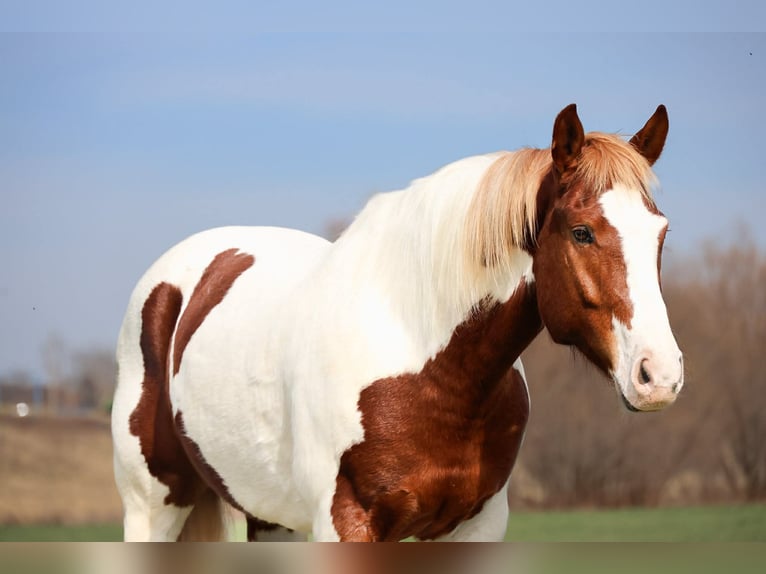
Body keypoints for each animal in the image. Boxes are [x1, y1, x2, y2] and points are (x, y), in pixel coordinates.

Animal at [111, 104, 683, 542]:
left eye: (661, 232)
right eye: (582, 232)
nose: (660, 376)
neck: (432, 372)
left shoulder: (475, 526)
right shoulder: (347, 524)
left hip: (271, 517)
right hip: (153, 506)